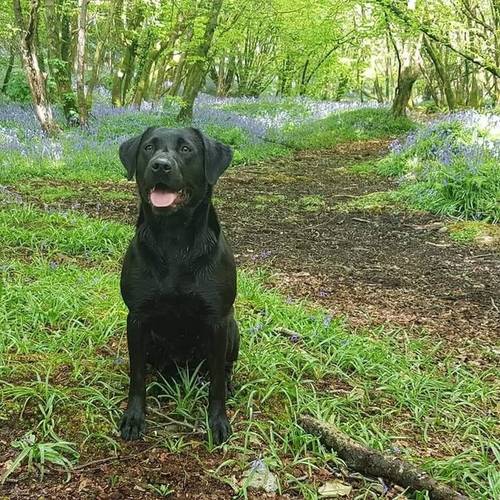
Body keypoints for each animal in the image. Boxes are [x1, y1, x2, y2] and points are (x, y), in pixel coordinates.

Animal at [119, 127, 240, 444]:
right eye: (148, 148)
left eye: (186, 150)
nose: (160, 165)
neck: (174, 241)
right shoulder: (137, 319)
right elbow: (136, 375)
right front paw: (134, 417)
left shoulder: (218, 320)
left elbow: (216, 383)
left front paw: (217, 421)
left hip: (233, 330)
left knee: (223, 368)